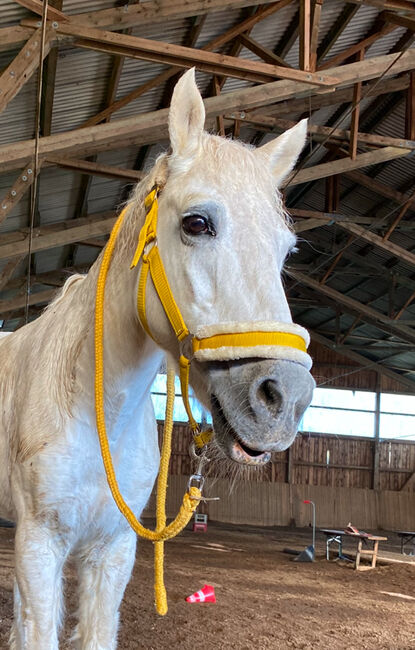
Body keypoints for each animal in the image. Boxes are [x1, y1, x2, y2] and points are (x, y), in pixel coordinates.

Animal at [0, 68, 316, 644]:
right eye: (196, 223)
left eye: (286, 251)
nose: (283, 400)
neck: (96, 407)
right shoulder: (38, 544)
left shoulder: (112, 550)